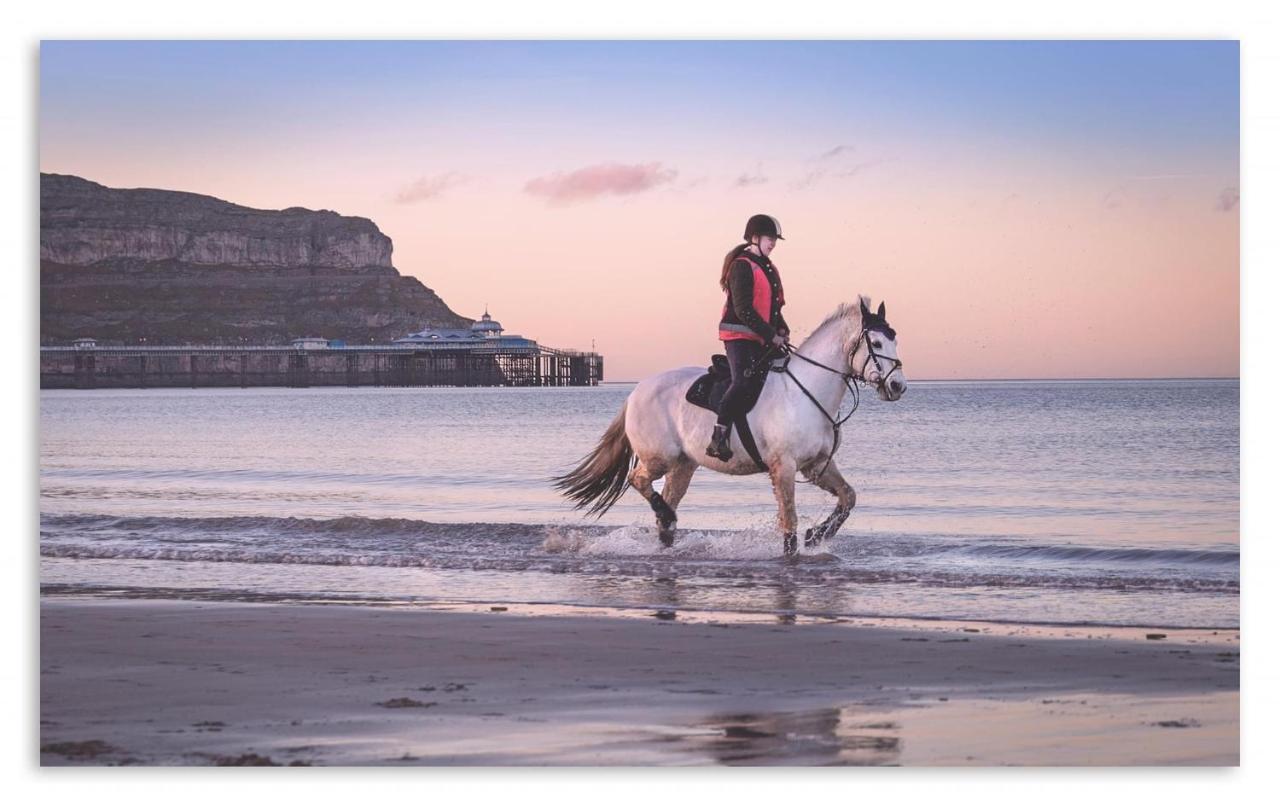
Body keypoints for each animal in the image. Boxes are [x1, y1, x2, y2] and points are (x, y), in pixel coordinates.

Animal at [555, 297, 906, 555]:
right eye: (876, 342)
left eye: (894, 339)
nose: (898, 386)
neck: (806, 392)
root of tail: (634, 393)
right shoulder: (784, 466)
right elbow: (789, 520)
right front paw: (796, 548)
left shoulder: (816, 464)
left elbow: (848, 498)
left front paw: (816, 535)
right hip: (659, 458)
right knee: (638, 480)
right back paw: (666, 514)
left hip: (683, 465)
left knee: (665, 507)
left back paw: (668, 529)